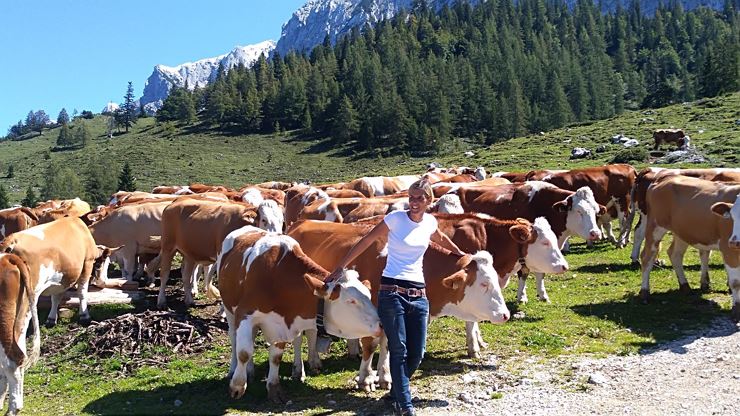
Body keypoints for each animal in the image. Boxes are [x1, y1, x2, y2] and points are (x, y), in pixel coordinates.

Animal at [217, 226, 381, 402]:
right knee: (234, 338)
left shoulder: (281, 324)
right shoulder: (245, 314)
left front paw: (274, 388)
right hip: (229, 309)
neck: (278, 280)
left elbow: (276, 356)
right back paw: (234, 370)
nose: (381, 324)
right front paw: (237, 386)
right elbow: (244, 352)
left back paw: (250, 370)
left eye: (369, 295)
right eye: (351, 301)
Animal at [452, 182, 604, 302]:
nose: (595, 233)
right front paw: (522, 296)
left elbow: (540, 273)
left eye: (595, 210)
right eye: (579, 211)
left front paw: (543, 295)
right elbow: (524, 273)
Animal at [640, 175, 740, 321]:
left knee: (674, 254)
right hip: (655, 226)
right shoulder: (728, 249)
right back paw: (645, 293)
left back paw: (685, 286)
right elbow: (736, 282)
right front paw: (736, 311)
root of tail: (664, 178)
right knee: (647, 257)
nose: (735, 242)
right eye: (733, 217)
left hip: (681, 231)